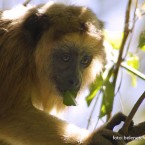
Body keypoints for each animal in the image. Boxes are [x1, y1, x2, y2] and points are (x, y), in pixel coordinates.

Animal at [0, 2, 124, 145]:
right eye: (65, 58)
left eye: (84, 60)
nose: (75, 81)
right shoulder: (13, 52)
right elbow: (10, 112)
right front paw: (90, 139)